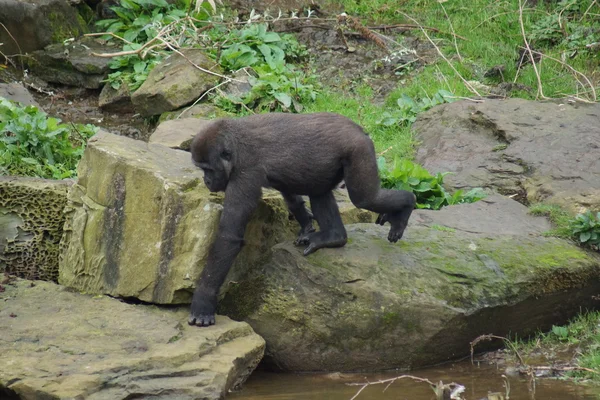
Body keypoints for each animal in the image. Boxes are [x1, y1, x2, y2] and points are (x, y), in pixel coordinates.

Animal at [190, 111, 414, 324]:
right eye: (202, 169)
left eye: (208, 169)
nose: (207, 181)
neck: (234, 148)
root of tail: (359, 129)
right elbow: (290, 193)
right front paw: (305, 223)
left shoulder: (245, 172)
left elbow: (228, 237)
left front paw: (203, 300)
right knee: (320, 191)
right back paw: (334, 237)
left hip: (359, 149)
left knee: (365, 198)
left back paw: (406, 207)